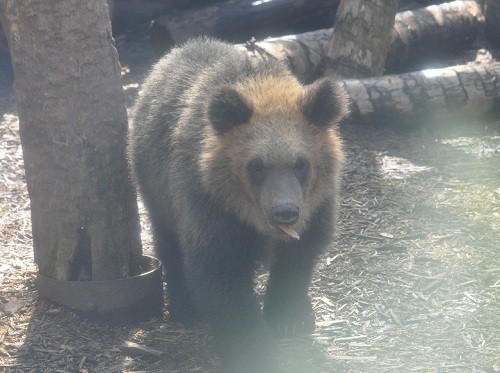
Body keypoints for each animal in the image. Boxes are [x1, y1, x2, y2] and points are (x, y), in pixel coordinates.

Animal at [129, 37, 348, 370]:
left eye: (301, 163)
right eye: (256, 165)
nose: (285, 212)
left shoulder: (317, 207)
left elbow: (300, 255)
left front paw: (291, 316)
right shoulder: (211, 209)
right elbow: (221, 276)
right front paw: (253, 348)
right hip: (155, 183)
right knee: (168, 240)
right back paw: (184, 306)